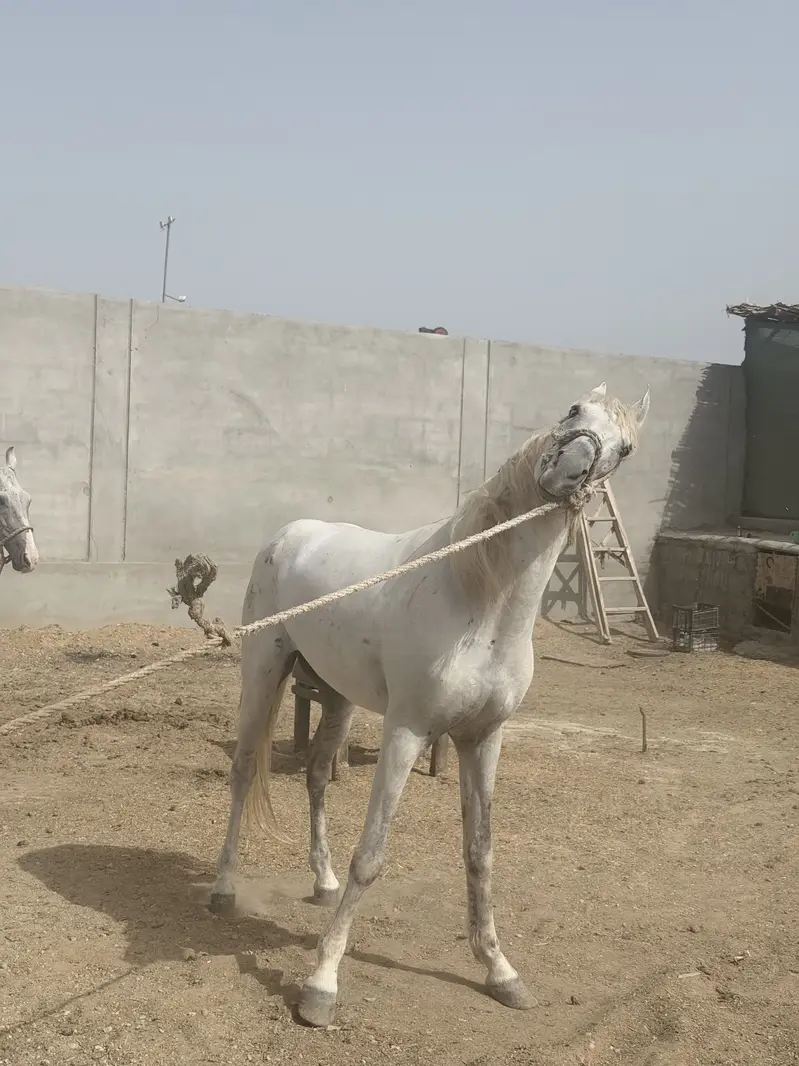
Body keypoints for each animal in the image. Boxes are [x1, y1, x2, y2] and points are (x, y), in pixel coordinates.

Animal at [210, 382, 649, 1027]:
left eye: (626, 448)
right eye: (572, 410)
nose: (567, 468)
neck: (478, 600)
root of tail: (289, 534)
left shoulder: (483, 738)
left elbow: (480, 852)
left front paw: (500, 971)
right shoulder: (407, 730)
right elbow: (372, 855)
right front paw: (321, 985)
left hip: (337, 697)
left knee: (316, 774)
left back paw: (323, 881)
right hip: (264, 671)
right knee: (244, 772)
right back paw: (223, 889)